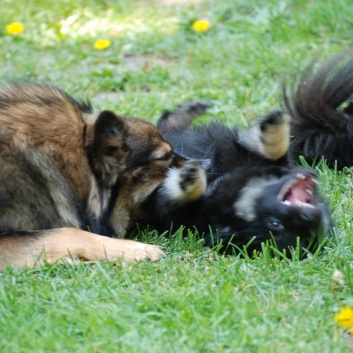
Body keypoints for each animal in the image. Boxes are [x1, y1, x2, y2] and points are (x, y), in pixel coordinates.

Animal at [139, 104, 332, 256]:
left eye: (275, 224)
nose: (311, 216)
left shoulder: (178, 213)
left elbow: (174, 201)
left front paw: (189, 180)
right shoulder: (253, 159)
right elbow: (275, 152)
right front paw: (274, 125)